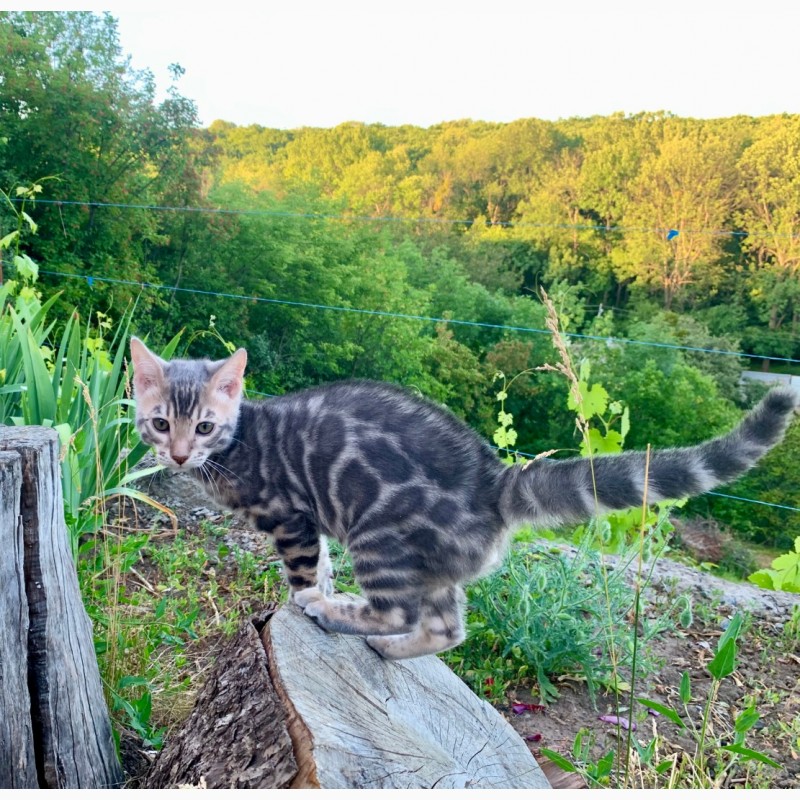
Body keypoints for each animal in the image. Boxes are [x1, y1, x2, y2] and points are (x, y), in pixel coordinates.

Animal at [128, 336, 796, 656]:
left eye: (204, 426)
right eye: (161, 423)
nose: (179, 455)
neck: (239, 442)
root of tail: (494, 478)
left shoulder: (290, 515)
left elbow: (303, 570)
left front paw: (310, 598)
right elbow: (321, 563)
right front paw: (324, 589)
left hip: (379, 535)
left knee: (399, 610)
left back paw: (341, 616)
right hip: (432, 564)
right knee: (449, 628)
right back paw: (385, 648)